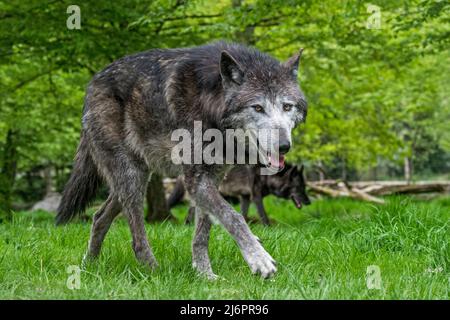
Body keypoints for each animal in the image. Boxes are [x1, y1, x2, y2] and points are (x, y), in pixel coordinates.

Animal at [57, 42, 306, 278]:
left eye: (287, 106)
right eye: (257, 107)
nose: (284, 146)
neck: (210, 103)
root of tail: (92, 84)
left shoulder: (211, 179)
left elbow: (203, 233)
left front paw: (205, 274)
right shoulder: (195, 180)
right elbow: (233, 216)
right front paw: (259, 259)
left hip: (134, 179)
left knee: (99, 217)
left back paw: (89, 266)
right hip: (131, 178)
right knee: (137, 237)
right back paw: (153, 272)